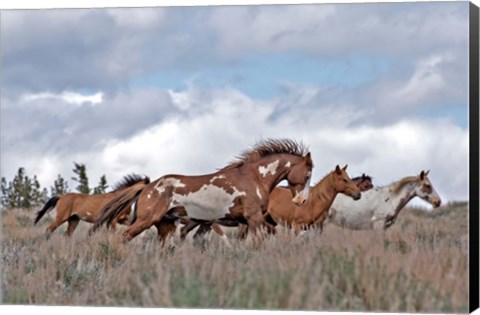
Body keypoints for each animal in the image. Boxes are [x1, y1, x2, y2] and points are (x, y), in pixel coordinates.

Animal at [91, 139, 314, 244]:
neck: (255, 178)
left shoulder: (249, 221)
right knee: (126, 235)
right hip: (147, 220)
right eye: (308, 174)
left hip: (166, 226)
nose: (302, 201)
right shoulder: (253, 218)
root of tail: (148, 186)